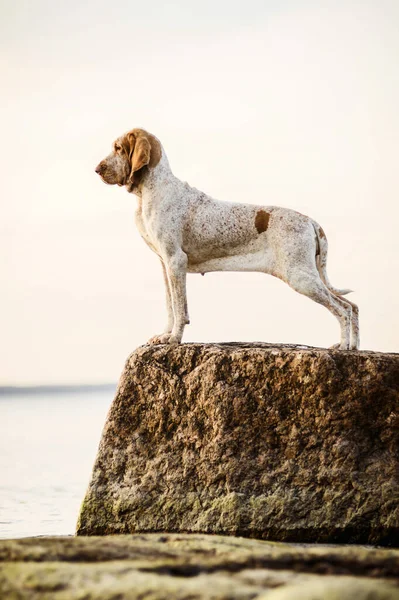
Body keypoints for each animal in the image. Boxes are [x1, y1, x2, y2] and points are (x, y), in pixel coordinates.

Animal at [94, 128, 360, 350]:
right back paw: (353, 346)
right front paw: (165, 335)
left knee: (343, 308)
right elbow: (171, 306)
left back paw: (344, 347)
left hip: (300, 276)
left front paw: (174, 339)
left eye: (118, 148)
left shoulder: (175, 261)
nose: (97, 169)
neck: (152, 190)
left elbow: (180, 309)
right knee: (353, 306)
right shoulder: (165, 264)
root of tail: (311, 222)